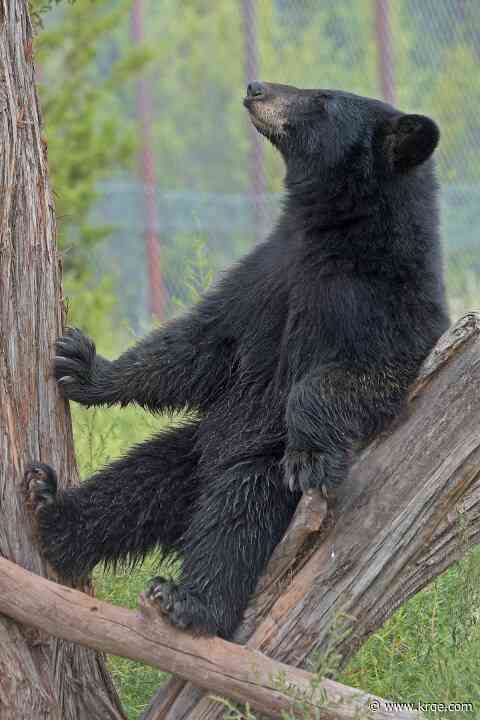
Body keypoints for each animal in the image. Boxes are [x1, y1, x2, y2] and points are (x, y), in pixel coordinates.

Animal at [25, 81, 449, 640]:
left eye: (322, 99)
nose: (256, 87)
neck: (330, 232)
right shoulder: (268, 273)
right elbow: (204, 344)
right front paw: (84, 365)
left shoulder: (386, 302)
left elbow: (370, 374)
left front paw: (312, 452)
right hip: (192, 447)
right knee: (136, 482)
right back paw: (52, 508)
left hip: (257, 470)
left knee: (238, 514)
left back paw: (191, 600)